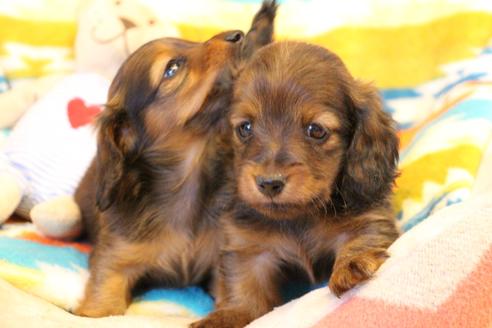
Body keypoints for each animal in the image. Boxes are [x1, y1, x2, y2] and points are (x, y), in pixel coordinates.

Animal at [75, 0, 278, 318]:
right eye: (172, 68)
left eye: (189, 42)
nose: (238, 34)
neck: (186, 183)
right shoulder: (114, 260)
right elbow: (102, 305)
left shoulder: (224, 257)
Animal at [192, 41, 400, 328]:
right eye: (245, 128)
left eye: (316, 130)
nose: (269, 183)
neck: (299, 218)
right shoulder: (249, 249)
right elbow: (244, 290)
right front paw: (227, 316)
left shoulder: (368, 218)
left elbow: (362, 238)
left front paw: (353, 264)